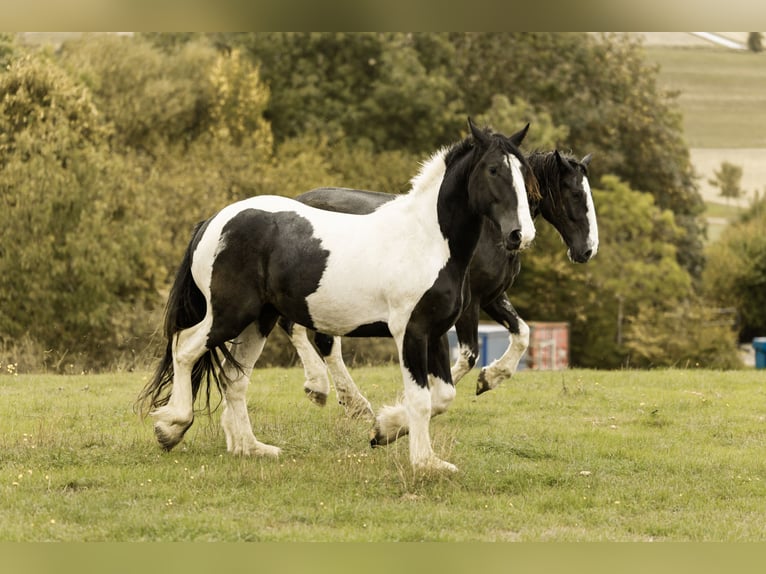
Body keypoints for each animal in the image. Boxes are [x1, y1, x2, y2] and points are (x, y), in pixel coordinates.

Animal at [137, 118, 536, 473]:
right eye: (493, 170)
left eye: (524, 173)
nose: (521, 235)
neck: (427, 240)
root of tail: (213, 222)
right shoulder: (411, 332)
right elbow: (421, 399)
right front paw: (425, 463)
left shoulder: (435, 332)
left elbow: (442, 397)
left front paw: (384, 430)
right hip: (230, 313)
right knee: (185, 347)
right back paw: (172, 427)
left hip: (258, 319)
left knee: (235, 378)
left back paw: (250, 447)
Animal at [282, 149, 597, 421]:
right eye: (576, 193)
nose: (588, 250)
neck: (487, 230)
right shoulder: (469, 302)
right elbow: (468, 356)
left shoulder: (493, 297)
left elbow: (522, 334)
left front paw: (489, 378)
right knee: (302, 331)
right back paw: (328, 391)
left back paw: (349, 402)